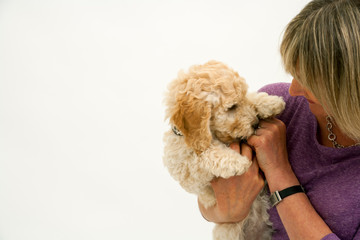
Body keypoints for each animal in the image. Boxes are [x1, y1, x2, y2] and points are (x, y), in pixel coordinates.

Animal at [162, 60, 284, 240]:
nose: (255, 124)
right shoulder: (187, 171)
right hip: (227, 230)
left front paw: (270, 102)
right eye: (232, 107)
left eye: (243, 97)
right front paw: (237, 162)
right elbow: (204, 154)